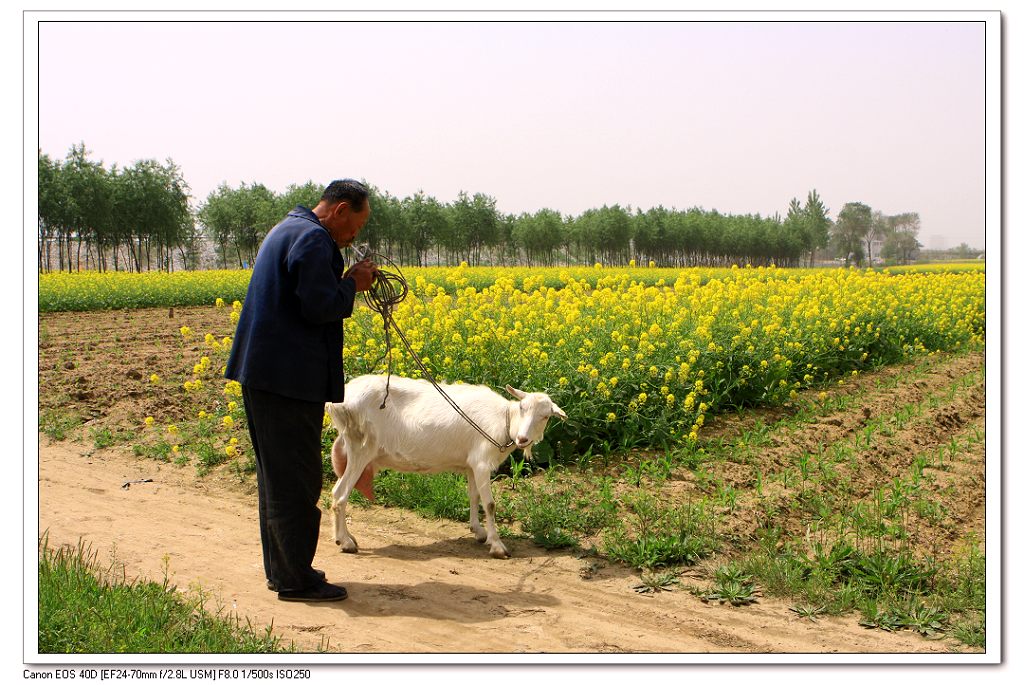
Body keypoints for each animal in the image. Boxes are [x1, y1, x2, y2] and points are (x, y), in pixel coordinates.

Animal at [327, 376, 569, 557]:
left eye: (545, 416)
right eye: (522, 406)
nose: (522, 439)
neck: (504, 420)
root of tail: (338, 402)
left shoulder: (472, 465)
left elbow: (474, 496)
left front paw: (478, 531)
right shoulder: (482, 462)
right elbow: (490, 504)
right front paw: (497, 546)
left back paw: (342, 538)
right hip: (361, 448)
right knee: (340, 494)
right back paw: (346, 542)